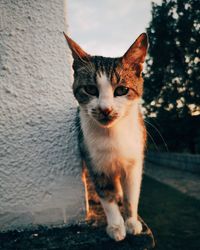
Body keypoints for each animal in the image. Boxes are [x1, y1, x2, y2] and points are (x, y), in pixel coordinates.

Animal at [64, 32, 148, 241]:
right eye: (90, 89)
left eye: (122, 90)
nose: (105, 109)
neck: (112, 135)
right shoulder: (95, 162)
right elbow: (105, 194)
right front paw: (116, 226)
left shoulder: (134, 161)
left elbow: (132, 193)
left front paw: (131, 221)